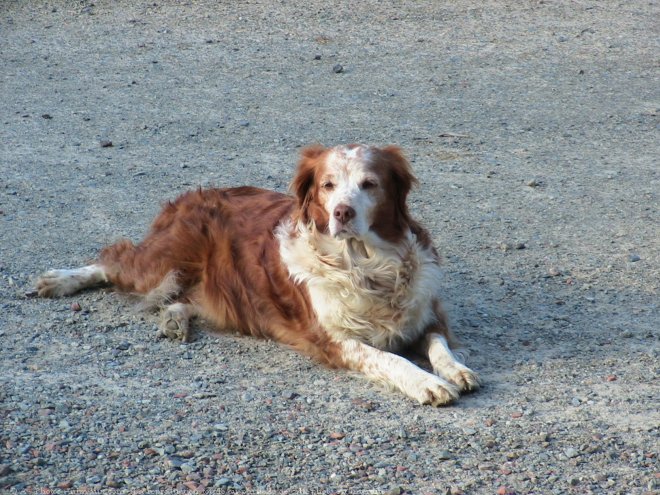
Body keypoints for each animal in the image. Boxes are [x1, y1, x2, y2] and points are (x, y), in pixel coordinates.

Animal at [36, 144, 480, 406]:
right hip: (162, 262)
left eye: (369, 184)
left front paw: (455, 369)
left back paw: (175, 319)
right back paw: (59, 279)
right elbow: (388, 357)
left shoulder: (425, 313)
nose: (342, 212)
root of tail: (191, 194)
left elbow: (439, 344)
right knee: (113, 259)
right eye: (327, 185)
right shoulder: (335, 341)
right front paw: (426, 383)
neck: (366, 265)